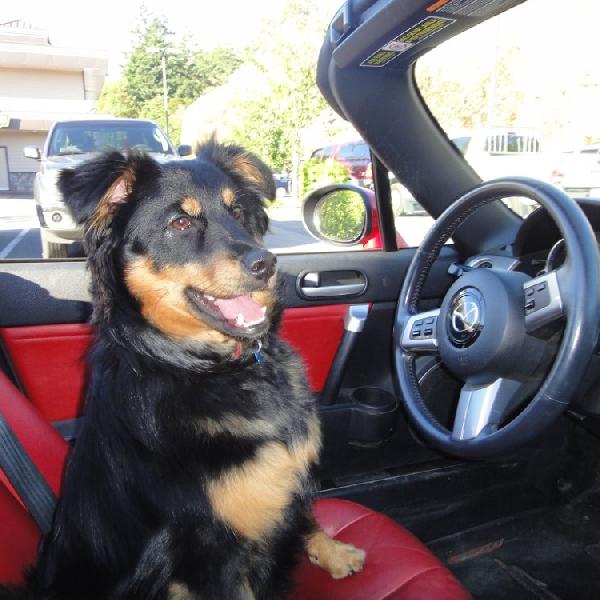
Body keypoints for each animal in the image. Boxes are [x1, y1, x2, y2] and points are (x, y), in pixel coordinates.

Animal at [0, 139, 366, 596]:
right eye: (179, 223)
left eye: (238, 212)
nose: (266, 263)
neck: (203, 366)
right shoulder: (210, 551)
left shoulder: (289, 477)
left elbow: (306, 513)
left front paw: (333, 551)